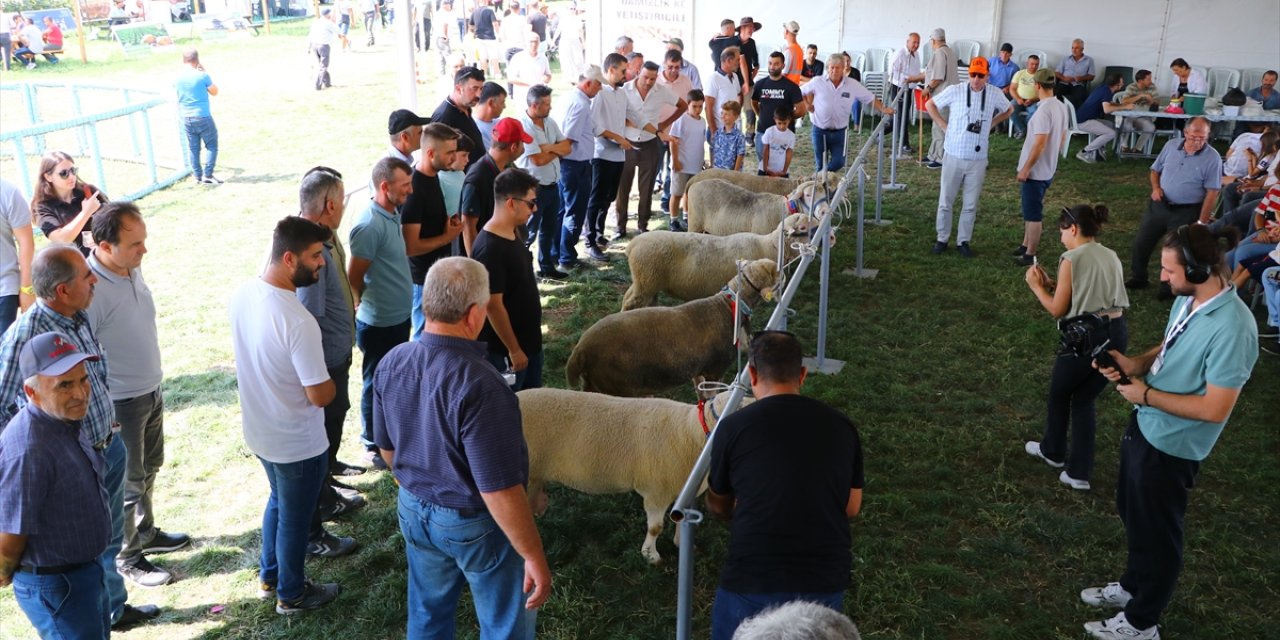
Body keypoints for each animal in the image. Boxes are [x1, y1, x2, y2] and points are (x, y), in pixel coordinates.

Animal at [514, 381, 747, 563]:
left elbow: (681, 520)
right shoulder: (656, 491)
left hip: (534, 475)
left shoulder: (684, 490)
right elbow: (655, 527)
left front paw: (682, 544)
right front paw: (650, 555)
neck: (691, 433)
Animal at [565, 257, 773, 396]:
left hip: (594, 383)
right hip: (618, 386)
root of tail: (580, 349)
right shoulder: (715, 370)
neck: (728, 305)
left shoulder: (698, 370)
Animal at [624, 213, 814, 311]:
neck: (768, 245)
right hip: (647, 281)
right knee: (629, 303)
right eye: (803, 227)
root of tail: (632, 245)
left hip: (645, 282)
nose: (831, 237)